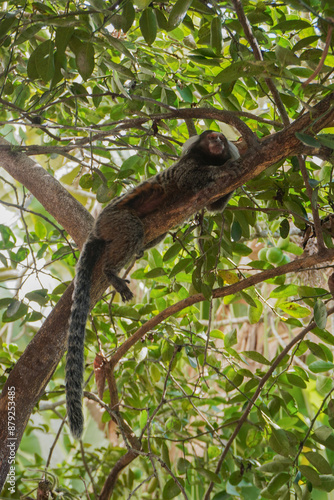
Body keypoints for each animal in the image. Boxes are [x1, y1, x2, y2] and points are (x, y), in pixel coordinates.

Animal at [66, 130, 240, 438]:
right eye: (211, 137)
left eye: (221, 138)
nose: (218, 141)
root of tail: (97, 226)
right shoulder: (186, 167)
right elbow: (189, 177)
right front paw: (224, 169)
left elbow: (215, 207)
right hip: (118, 220)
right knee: (133, 229)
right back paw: (111, 272)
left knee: (151, 235)